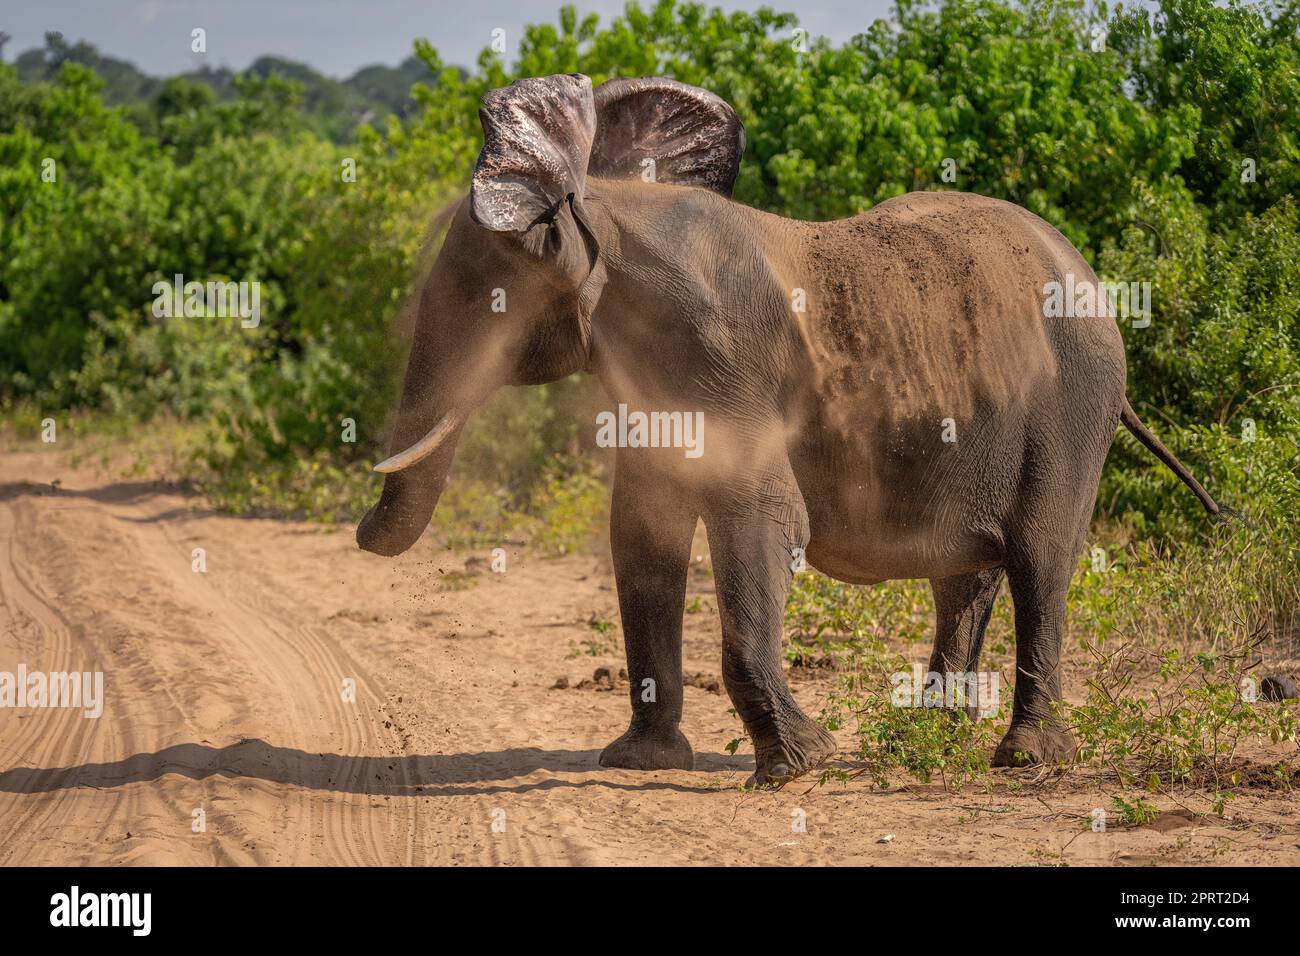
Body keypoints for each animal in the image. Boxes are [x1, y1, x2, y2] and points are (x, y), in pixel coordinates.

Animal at [355, 73, 1225, 785]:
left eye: (486, 289)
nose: (360, 530)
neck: (609, 205)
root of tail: (1094, 280)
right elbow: (641, 532)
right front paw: (639, 762)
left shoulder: (723, 359)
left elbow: (758, 519)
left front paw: (797, 768)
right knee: (966, 576)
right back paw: (930, 742)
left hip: (1074, 402)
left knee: (1042, 558)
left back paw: (1024, 761)